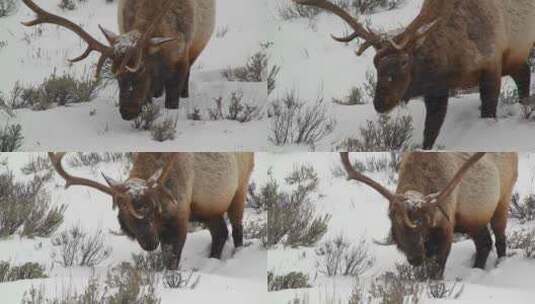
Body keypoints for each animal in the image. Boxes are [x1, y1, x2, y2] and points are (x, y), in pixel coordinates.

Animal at [48, 153, 255, 270]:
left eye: (154, 209)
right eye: (124, 214)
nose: (150, 242)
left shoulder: (179, 217)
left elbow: (172, 260)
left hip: (240, 187)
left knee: (237, 229)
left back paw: (238, 255)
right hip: (210, 208)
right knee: (220, 232)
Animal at [296, 0, 535, 150]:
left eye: (404, 62)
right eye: (375, 64)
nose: (381, 102)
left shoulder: (492, 67)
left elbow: (488, 114)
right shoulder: (437, 89)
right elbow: (430, 132)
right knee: (524, 73)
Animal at [340, 151, 520, 276]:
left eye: (424, 226)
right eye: (395, 223)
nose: (416, 258)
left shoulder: (446, 228)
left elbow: (436, 270)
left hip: (503, 198)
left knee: (499, 238)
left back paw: (500, 264)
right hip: (474, 218)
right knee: (484, 242)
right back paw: (477, 269)